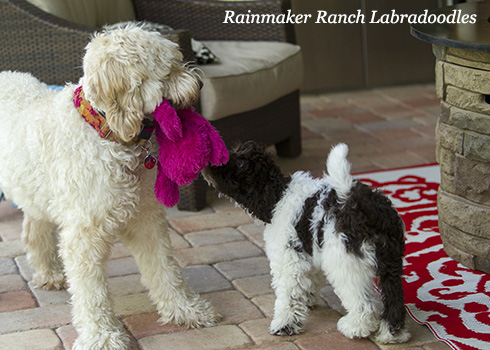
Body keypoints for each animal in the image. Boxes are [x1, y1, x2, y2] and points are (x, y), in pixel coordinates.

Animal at [0, 25, 220, 350]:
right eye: (168, 70)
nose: (201, 84)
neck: (104, 132)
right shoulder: (83, 235)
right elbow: (91, 294)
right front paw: (101, 336)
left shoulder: (145, 218)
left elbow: (165, 268)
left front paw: (185, 309)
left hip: (36, 190)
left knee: (33, 230)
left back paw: (48, 273)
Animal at [202, 141, 410, 344]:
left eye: (240, 163)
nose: (209, 163)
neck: (278, 195)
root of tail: (365, 208)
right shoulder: (309, 252)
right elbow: (308, 280)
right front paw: (308, 299)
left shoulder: (288, 260)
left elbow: (288, 295)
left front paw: (284, 324)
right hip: (390, 261)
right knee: (394, 296)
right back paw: (392, 334)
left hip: (345, 263)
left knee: (364, 303)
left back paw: (355, 328)